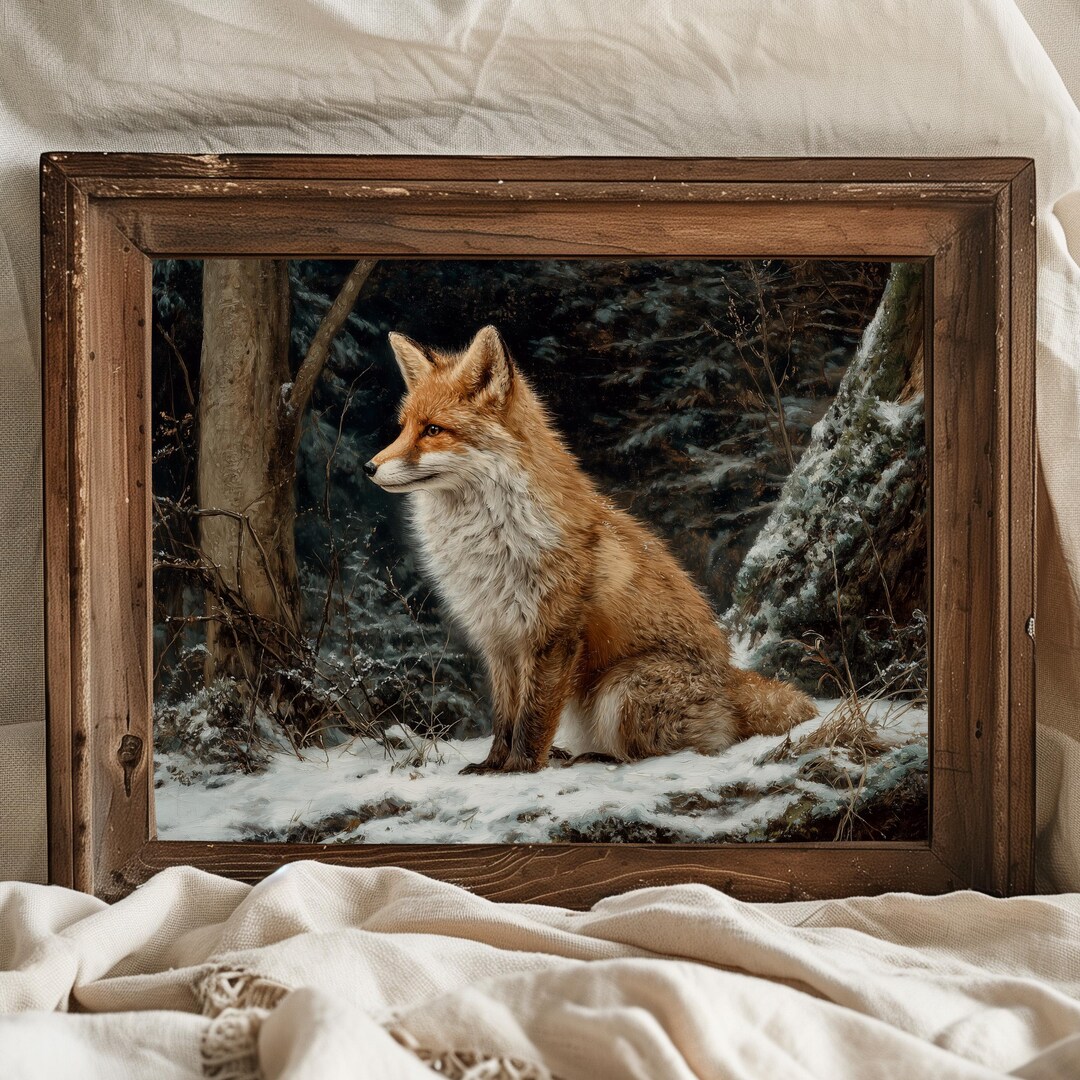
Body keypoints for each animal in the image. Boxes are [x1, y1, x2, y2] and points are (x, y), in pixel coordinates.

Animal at [364, 325, 817, 774]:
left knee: (677, 750)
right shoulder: (499, 638)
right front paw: (493, 765)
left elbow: (533, 717)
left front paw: (521, 768)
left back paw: (597, 757)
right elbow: (505, 716)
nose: (369, 467)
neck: (487, 543)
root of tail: (731, 680)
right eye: (403, 427)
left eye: (433, 430)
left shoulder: (553, 634)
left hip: (622, 688)